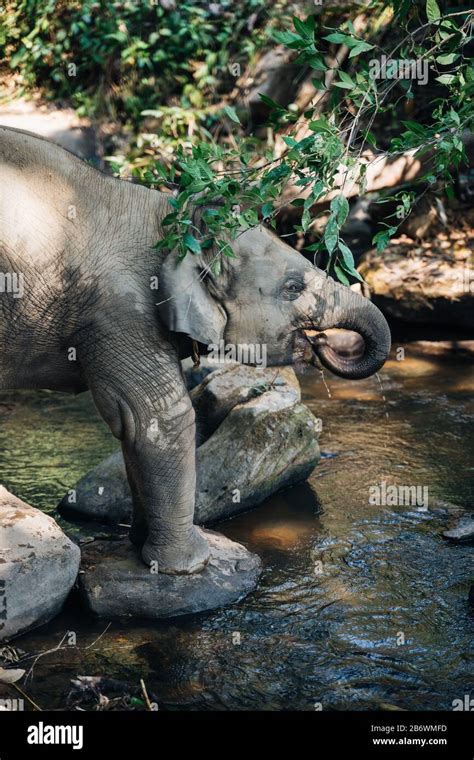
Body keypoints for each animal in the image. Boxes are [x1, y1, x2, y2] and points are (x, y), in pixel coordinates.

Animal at [0, 126, 390, 576]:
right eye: (293, 287)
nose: (323, 342)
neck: (169, 217)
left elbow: (131, 427)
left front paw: (140, 547)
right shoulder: (119, 309)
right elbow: (156, 418)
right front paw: (188, 565)